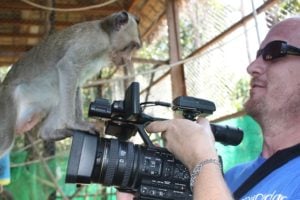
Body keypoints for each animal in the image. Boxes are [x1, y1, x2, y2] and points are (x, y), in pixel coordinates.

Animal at [0, 10, 142, 158]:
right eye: (131, 47)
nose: (128, 59)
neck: (106, 36)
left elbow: (77, 84)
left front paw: (78, 123)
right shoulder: (94, 41)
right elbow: (68, 67)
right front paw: (74, 124)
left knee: (59, 96)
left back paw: (48, 133)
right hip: (7, 99)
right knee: (5, 141)